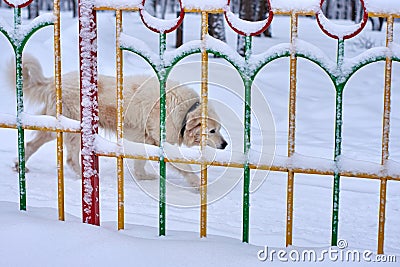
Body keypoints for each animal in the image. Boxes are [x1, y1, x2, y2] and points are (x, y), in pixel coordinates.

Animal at [14, 54, 227, 188]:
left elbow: (140, 167)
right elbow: (186, 169)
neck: (183, 111)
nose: (225, 144)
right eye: (212, 131)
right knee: (69, 159)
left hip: (55, 129)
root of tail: (53, 81)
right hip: (72, 130)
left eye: (219, 129)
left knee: (32, 144)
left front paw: (145, 177)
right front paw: (198, 185)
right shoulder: (163, 144)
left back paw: (19, 166)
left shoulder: (146, 141)